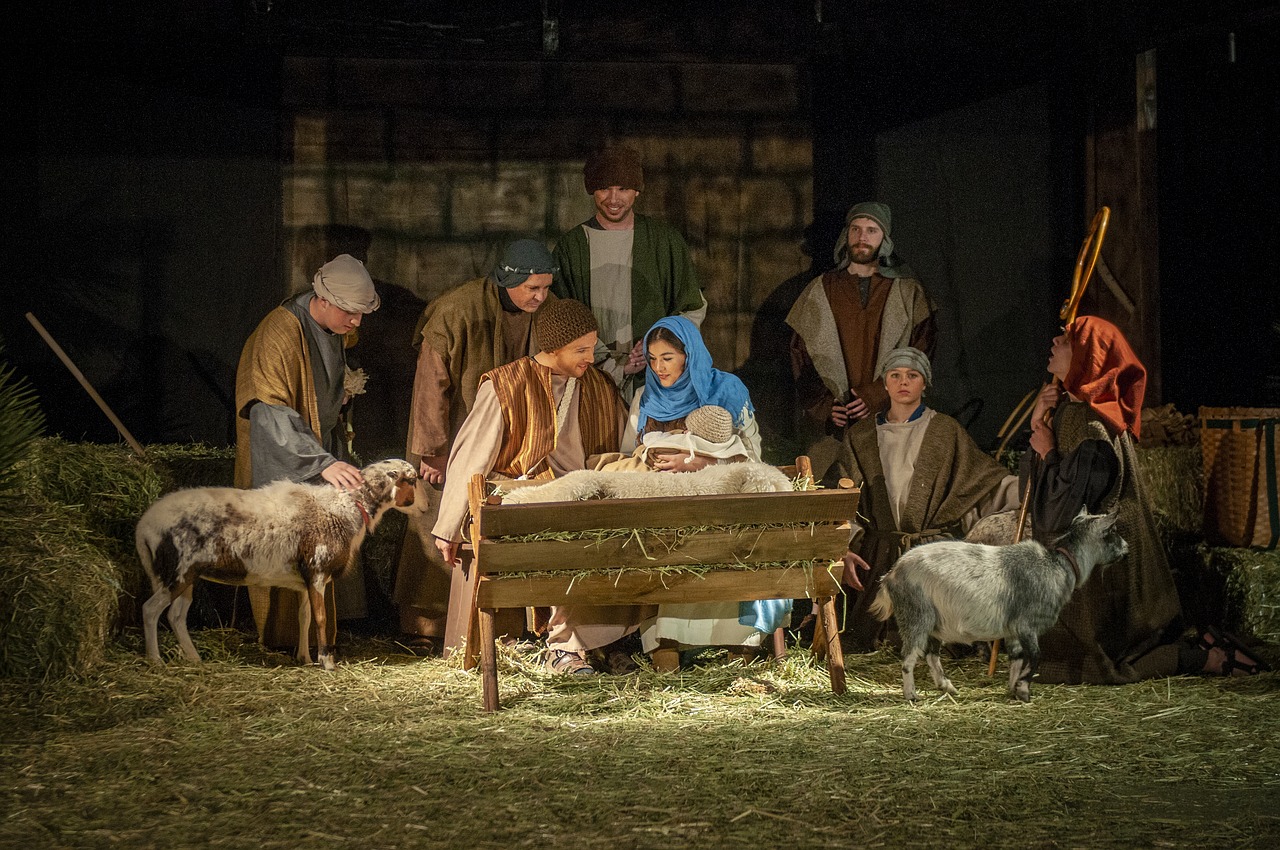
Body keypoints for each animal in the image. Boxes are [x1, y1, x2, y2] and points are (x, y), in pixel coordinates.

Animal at [135, 460, 417, 665]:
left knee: (176, 616)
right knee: (150, 610)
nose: (415, 502)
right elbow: (321, 618)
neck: (347, 506)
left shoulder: (305, 580)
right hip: (177, 571)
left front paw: (304, 658)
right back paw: (155, 660)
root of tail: (144, 526)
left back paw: (194, 659)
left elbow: (304, 617)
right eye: (412, 480)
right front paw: (326, 661)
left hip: (187, 575)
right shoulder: (317, 570)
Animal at [870, 506, 1131, 701]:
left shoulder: (1013, 630)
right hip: (916, 616)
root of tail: (891, 575)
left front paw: (1013, 689)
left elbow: (1017, 658)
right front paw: (1024, 690)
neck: (1057, 566)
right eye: (1112, 531)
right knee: (909, 657)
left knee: (931, 655)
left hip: (934, 622)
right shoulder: (1027, 625)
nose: (1127, 549)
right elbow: (1035, 656)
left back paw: (947, 687)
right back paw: (911, 695)